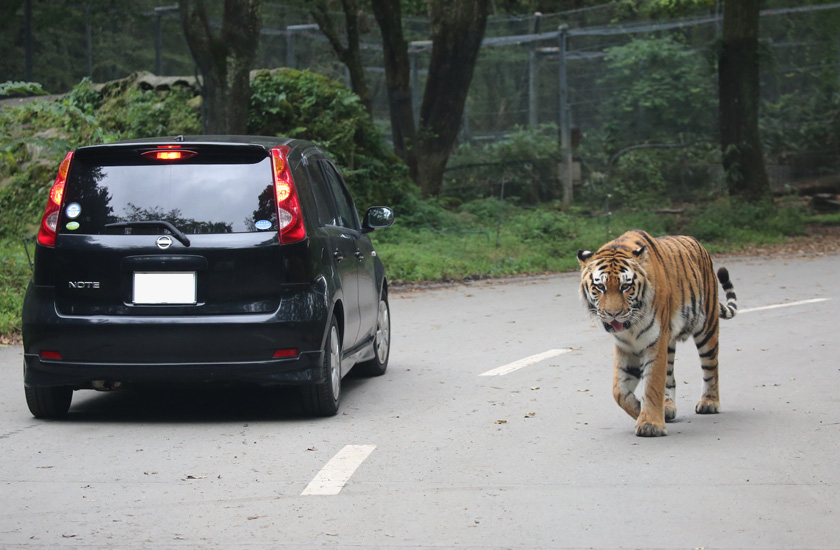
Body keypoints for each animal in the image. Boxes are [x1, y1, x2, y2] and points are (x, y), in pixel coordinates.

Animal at [576, 231, 740, 438]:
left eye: (625, 287)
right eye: (600, 287)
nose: (613, 313)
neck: (631, 326)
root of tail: (698, 243)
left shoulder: (655, 341)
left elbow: (652, 383)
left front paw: (650, 424)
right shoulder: (625, 347)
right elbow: (619, 391)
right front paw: (641, 410)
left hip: (707, 327)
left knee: (711, 367)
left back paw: (709, 403)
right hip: (670, 343)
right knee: (670, 376)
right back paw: (668, 407)